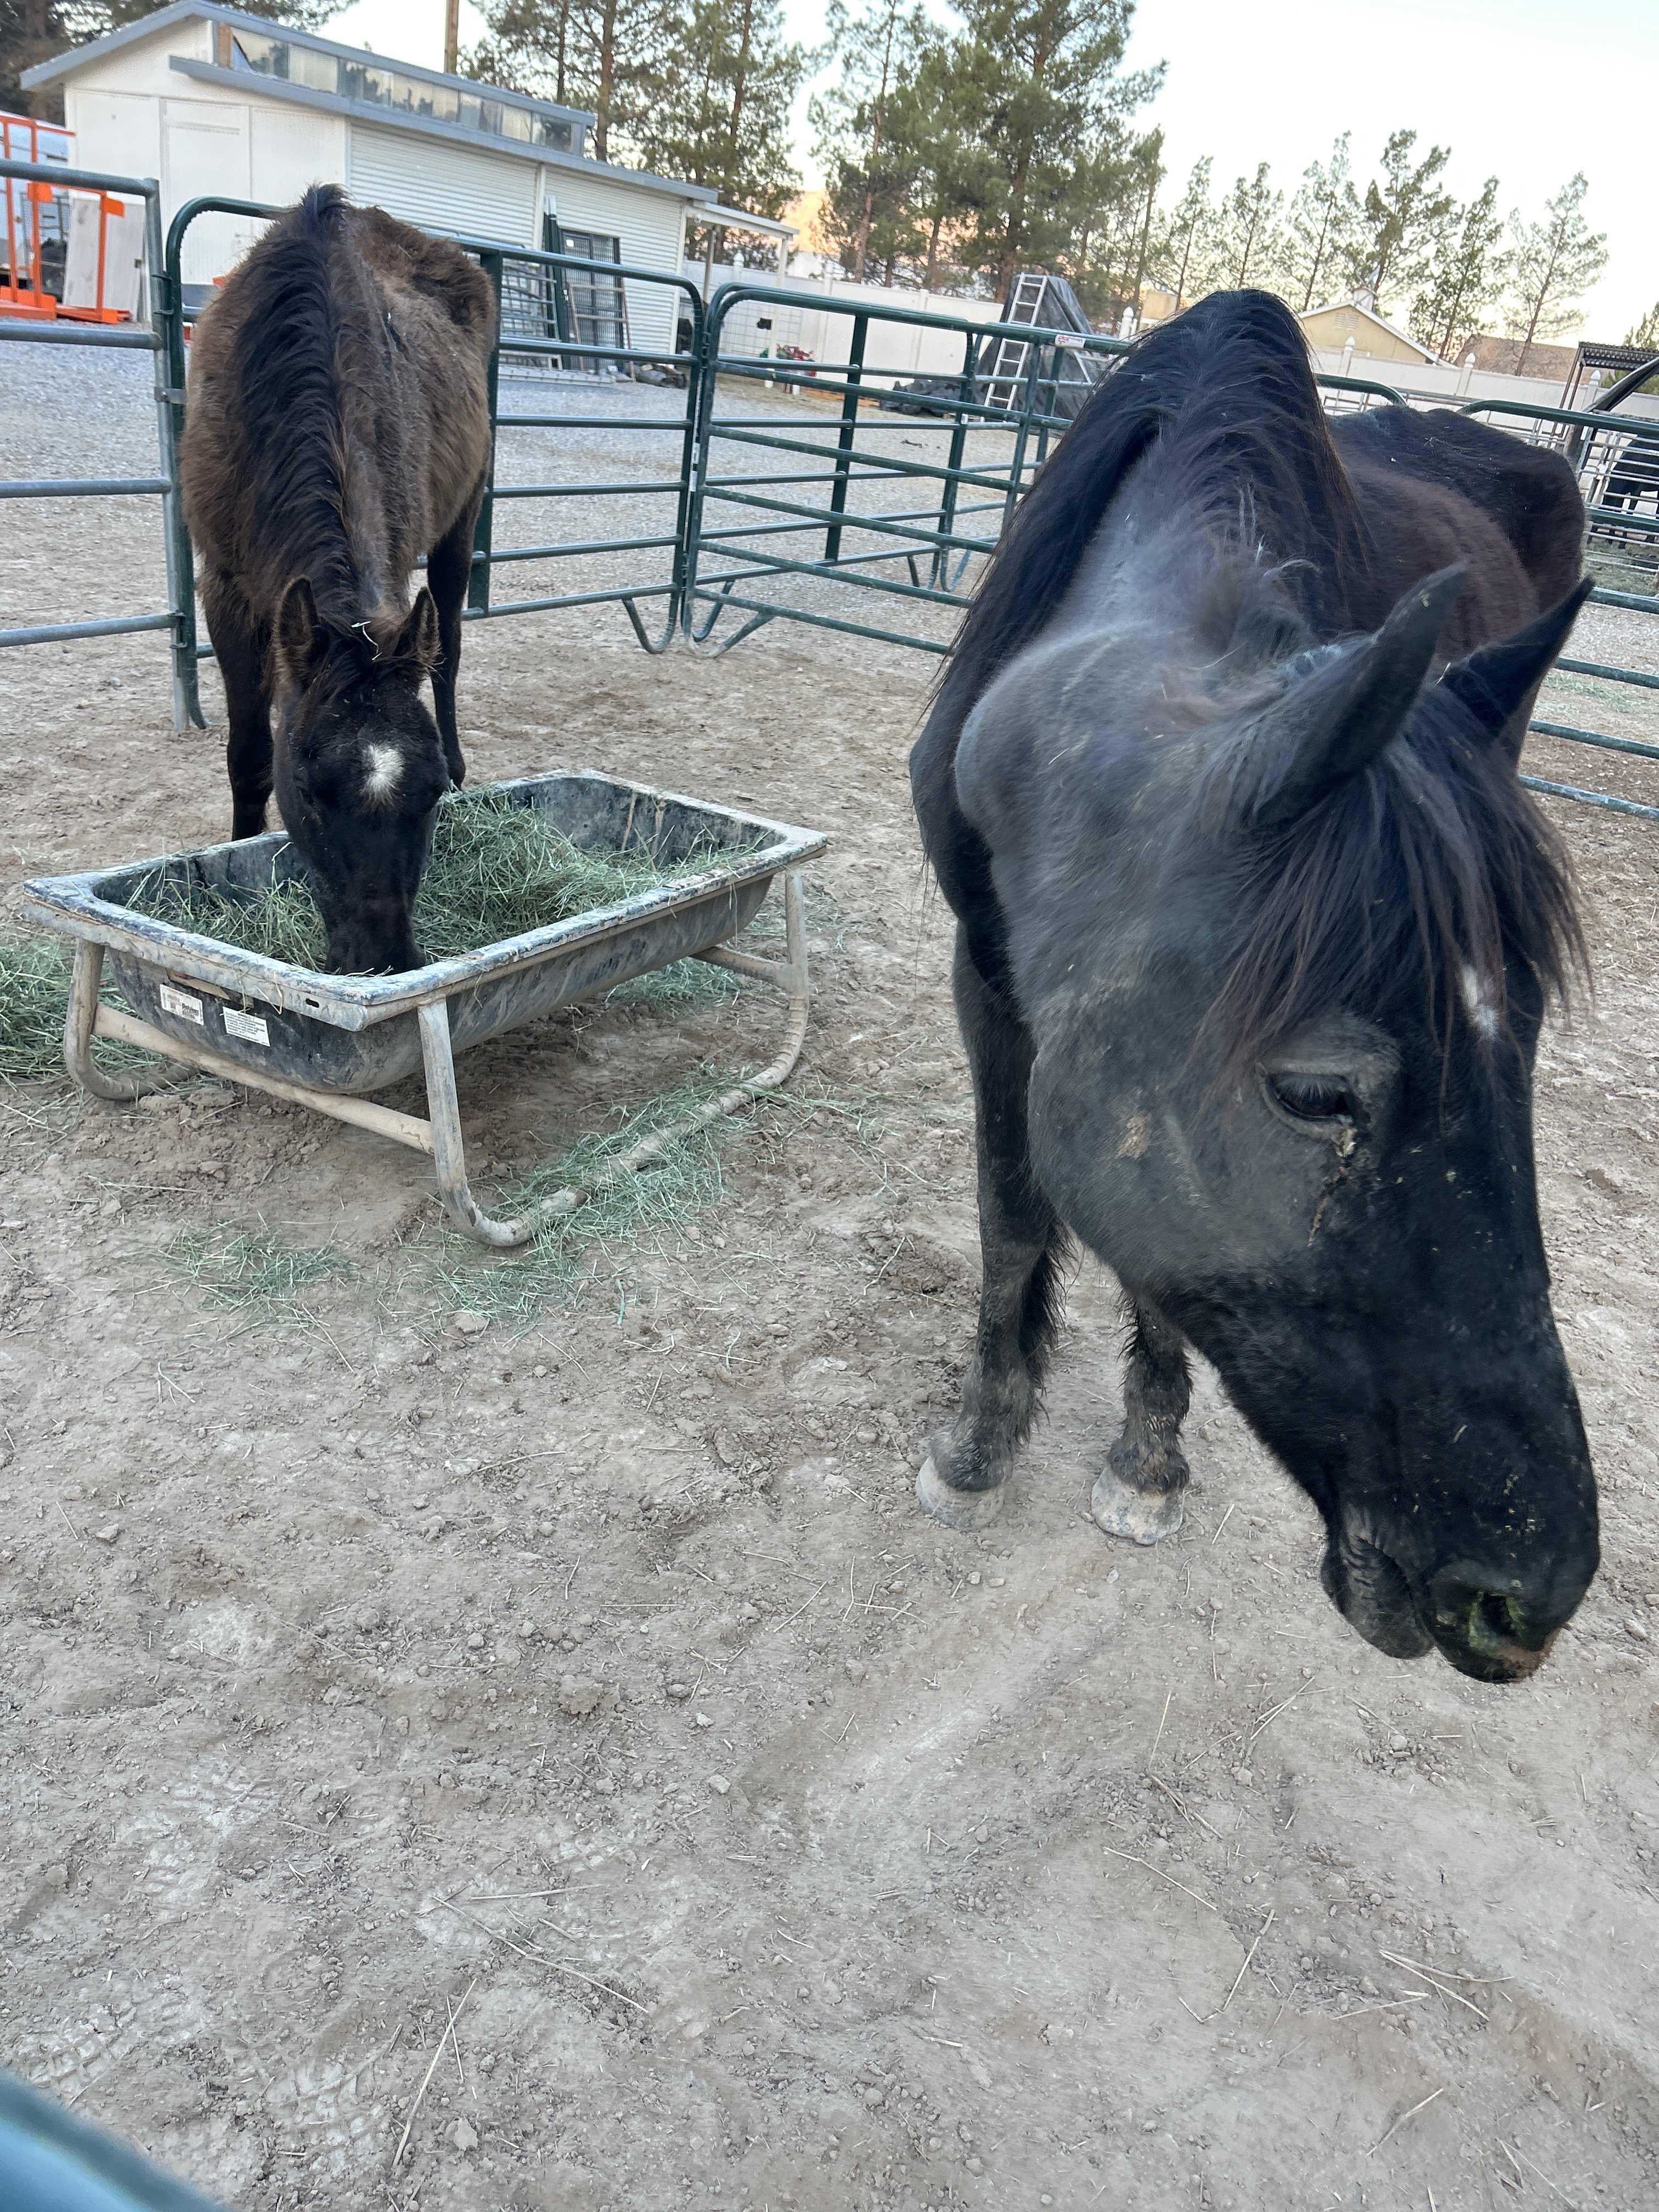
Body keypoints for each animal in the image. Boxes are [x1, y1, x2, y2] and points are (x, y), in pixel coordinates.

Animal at [179, 185, 496, 973]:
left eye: (430, 793)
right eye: (309, 788)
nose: (384, 960)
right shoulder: (224, 590)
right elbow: (247, 756)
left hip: (462, 521)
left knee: (448, 655)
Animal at [909, 289, 1598, 1686]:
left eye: (1526, 1054)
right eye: (1318, 1093)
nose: (1528, 1596)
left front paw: (1148, 1461)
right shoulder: (987, 987)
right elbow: (1014, 1224)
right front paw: (980, 1449)